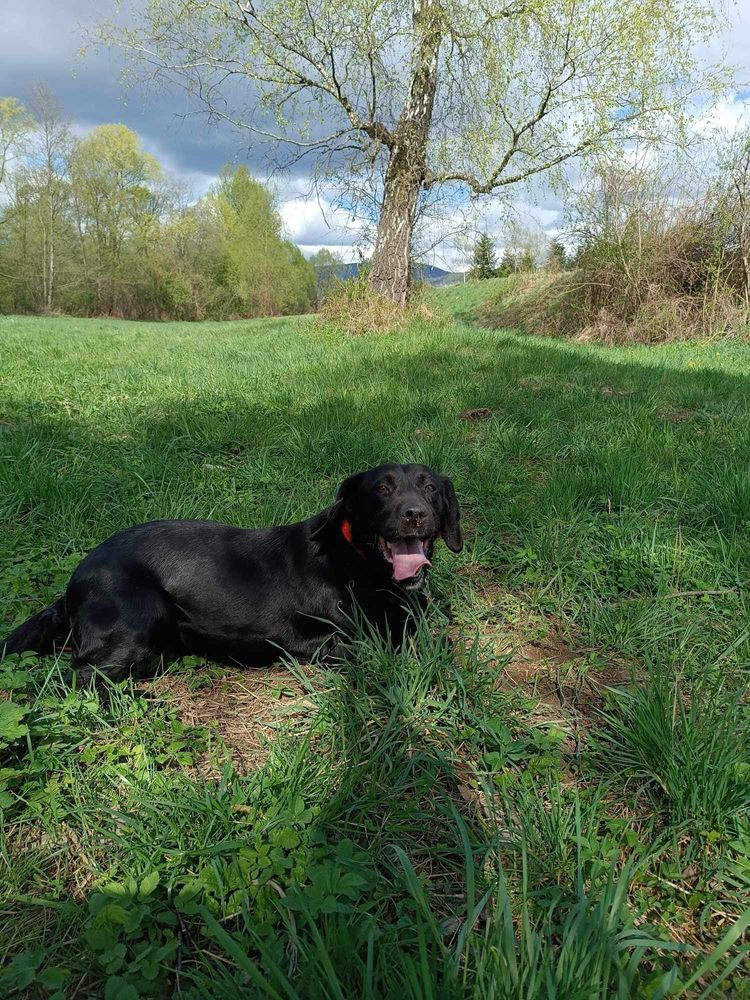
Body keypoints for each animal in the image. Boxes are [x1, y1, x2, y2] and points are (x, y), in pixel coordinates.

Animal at [2, 464, 462, 684]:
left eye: (430, 488)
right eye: (381, 488)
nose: (415, 514)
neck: (357, 559)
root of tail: (73, 582)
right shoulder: (343, 641)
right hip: (141, 619)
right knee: (78, 675)